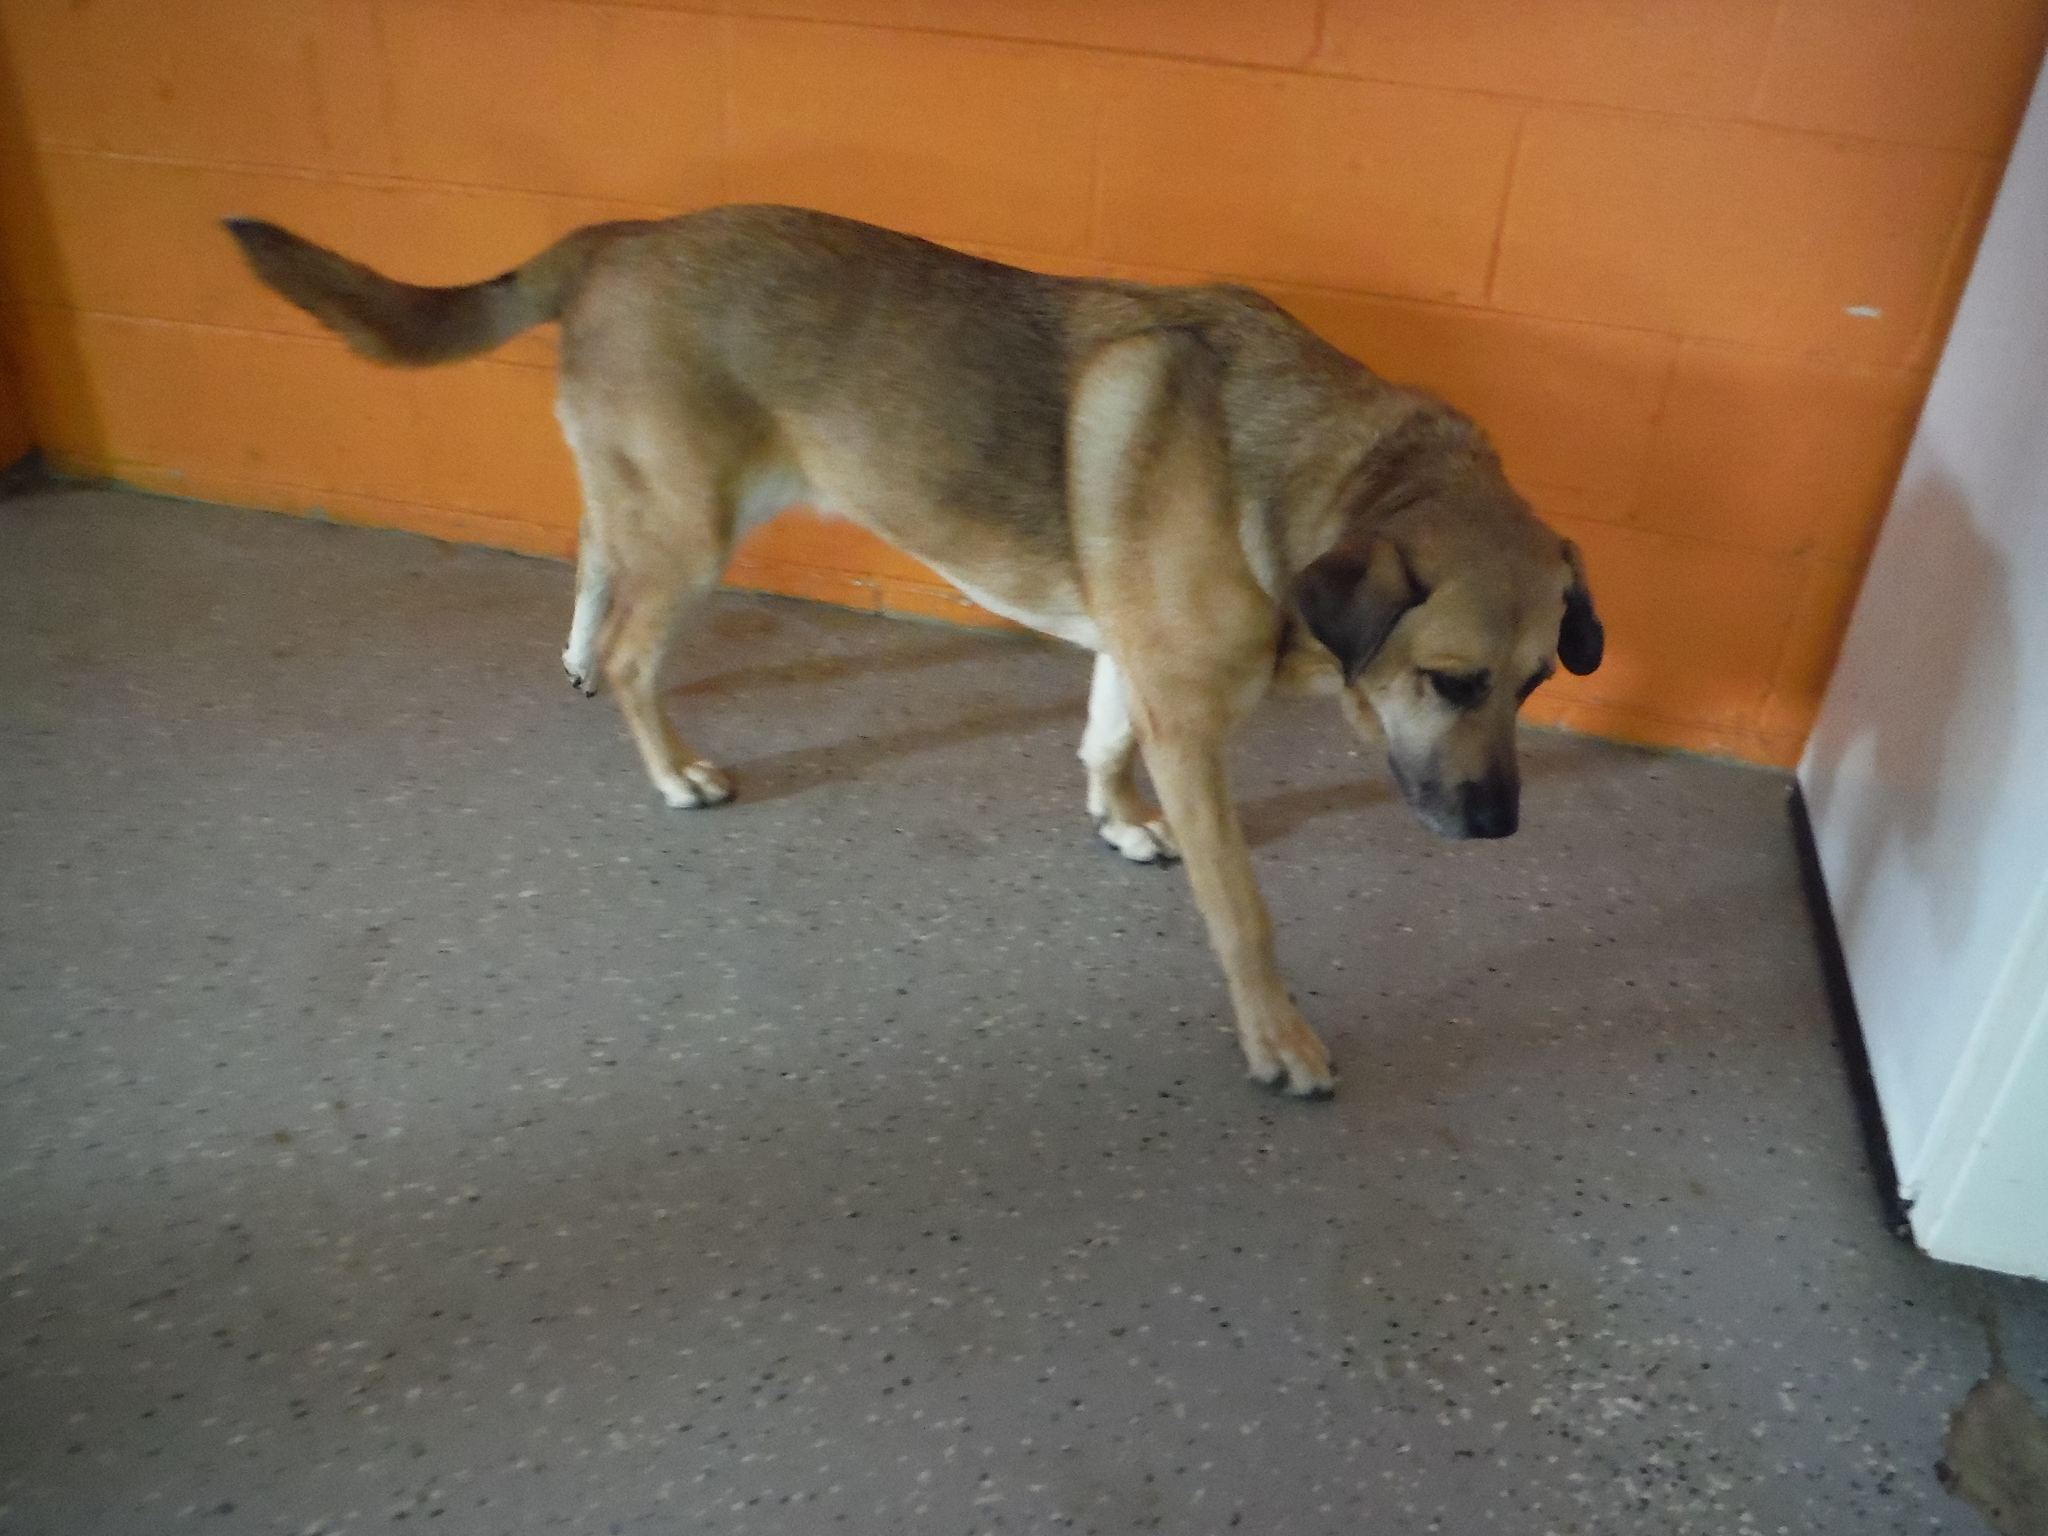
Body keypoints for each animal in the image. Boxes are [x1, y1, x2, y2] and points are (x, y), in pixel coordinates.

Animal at [224, 204, 1597, 1097]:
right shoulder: (1191, 724)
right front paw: (1279, 1040)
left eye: (1535, 683)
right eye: (1451, 681)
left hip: (651, 504)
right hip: (696, 529)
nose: (1500, 830)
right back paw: (668, 768)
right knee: (633, 655)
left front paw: (1115, 822)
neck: (1322, 478)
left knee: (592, 555)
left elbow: (1098, 742)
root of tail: (620, 235)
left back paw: (572, 649)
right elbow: (1242, 911)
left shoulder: (1135, 671)